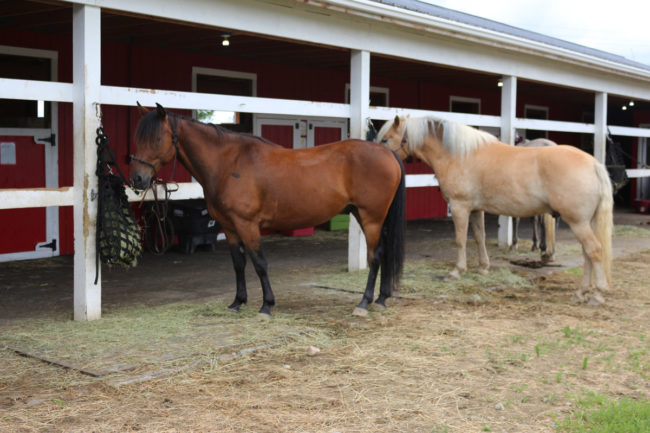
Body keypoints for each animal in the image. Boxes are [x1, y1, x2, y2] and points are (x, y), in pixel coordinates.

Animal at [130, 103, 405, 317]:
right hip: (365, 215)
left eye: (156, 139)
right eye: (137, 138)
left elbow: (259, 263)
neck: (229, 163)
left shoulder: (247, 224)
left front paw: (266, 306)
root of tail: (387, 153)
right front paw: (237, 302)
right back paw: (381, 299)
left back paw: (364, 303)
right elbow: (239, 264)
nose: (137, 180)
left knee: (375, 255)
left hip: (371, 218)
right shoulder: (230, 227)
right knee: (384, 252)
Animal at [377, 115, 613, 305]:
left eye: (385, 139)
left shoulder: (459, 206)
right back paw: (581, 292)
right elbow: (479, 237)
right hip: (585, 222)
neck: (460, 155)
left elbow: (460, 240)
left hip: (578, 222)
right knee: (588, 254)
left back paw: (597, 294)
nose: (380, 160)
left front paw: (456, 271)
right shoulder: (475, 209)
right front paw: (483, 267)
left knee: (594, 251)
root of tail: (593, 164)